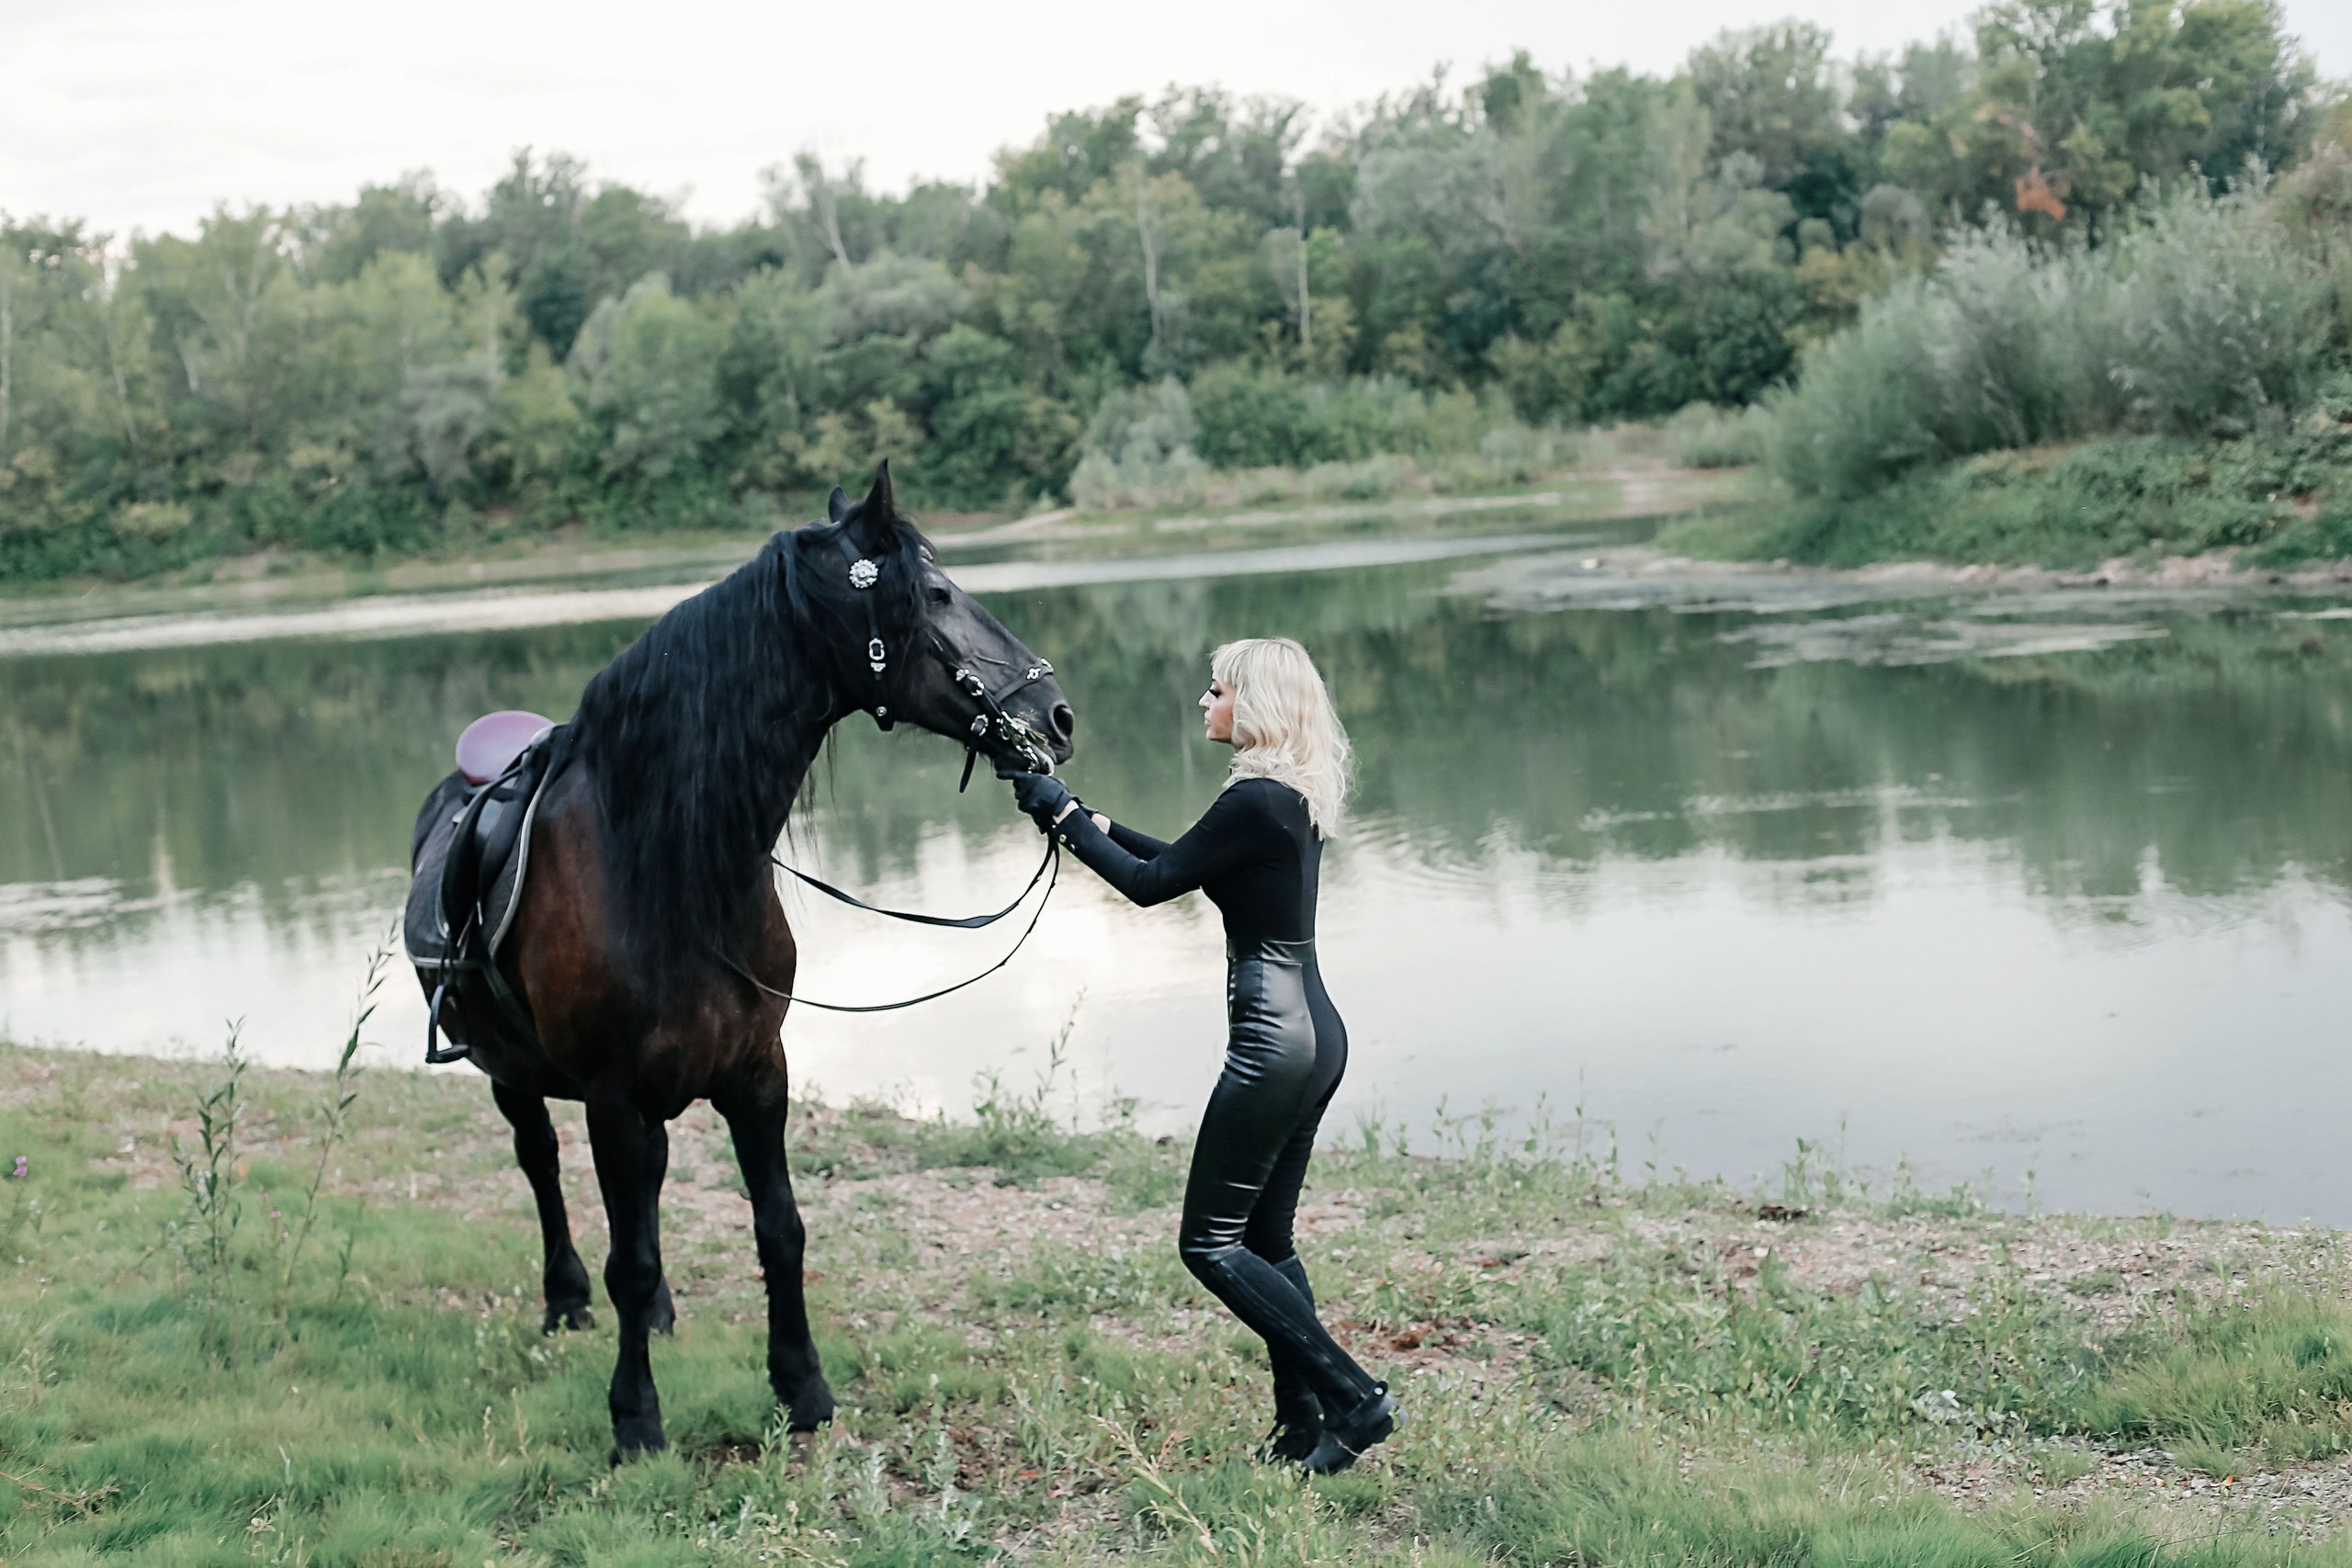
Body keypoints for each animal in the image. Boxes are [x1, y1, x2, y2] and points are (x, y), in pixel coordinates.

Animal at [413, 465, 1077, 1457]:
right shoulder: (613, 1097)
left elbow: (777, 1229)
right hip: (511, 1072)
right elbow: (629, 1254)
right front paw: (635, 1420)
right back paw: (565, 1301)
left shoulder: (758, 1073)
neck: (666, 866)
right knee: (542, 1166)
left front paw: (802, 1386)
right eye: (934, 594)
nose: (1055, 717)